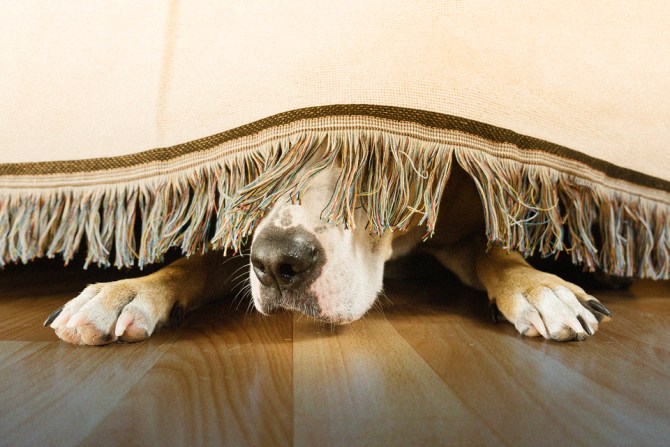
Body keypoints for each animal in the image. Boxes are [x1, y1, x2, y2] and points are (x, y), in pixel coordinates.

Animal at [44, 160, 616, 346]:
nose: (278, 263)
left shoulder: (460, 230)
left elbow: (499, 254)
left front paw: (541, 288)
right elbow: (195, 262)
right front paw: (126, 292)